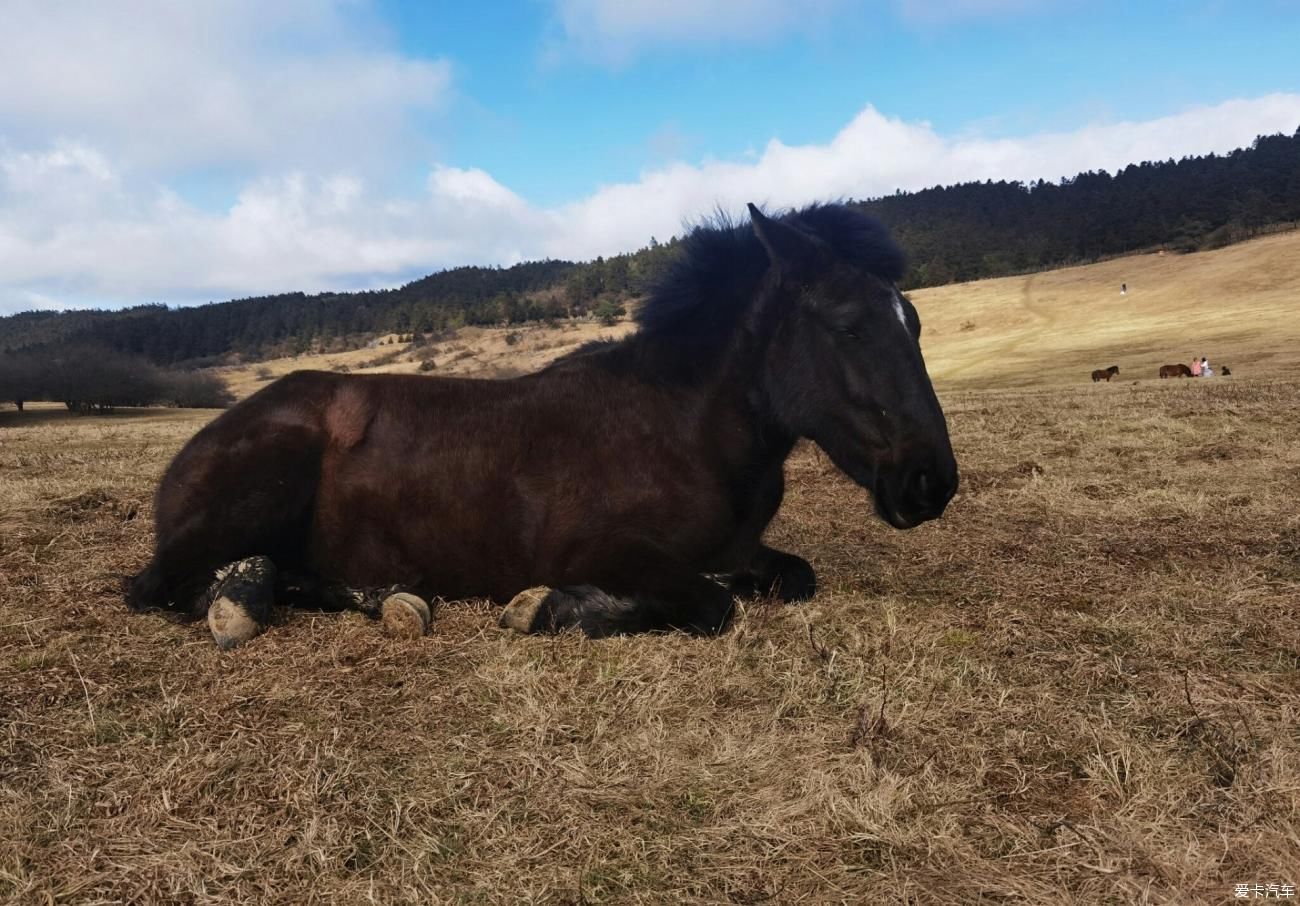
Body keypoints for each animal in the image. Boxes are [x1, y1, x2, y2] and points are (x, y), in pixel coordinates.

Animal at [126, 204, 961, 642]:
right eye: (847, 325)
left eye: (914, 321)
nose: (930, 482)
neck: (682, 430)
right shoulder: (603, 550)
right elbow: (711, 603)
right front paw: (548, 605)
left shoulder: (743, 551)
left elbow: (793, 577)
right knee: (160, 585)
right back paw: (245, 600)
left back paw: (384, 597)